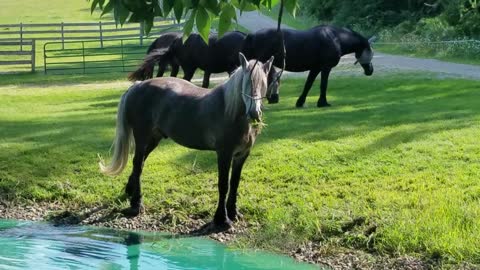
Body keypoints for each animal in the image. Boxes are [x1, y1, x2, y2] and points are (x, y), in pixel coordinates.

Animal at [244, 25, 376, 107]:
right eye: (370, 52)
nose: (370, 70)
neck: (336, 38)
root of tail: (251, 36)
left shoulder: (315, 68)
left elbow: (308, 85)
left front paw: (300, 102)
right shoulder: (326, 68)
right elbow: (323, 85)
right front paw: (323, 103)